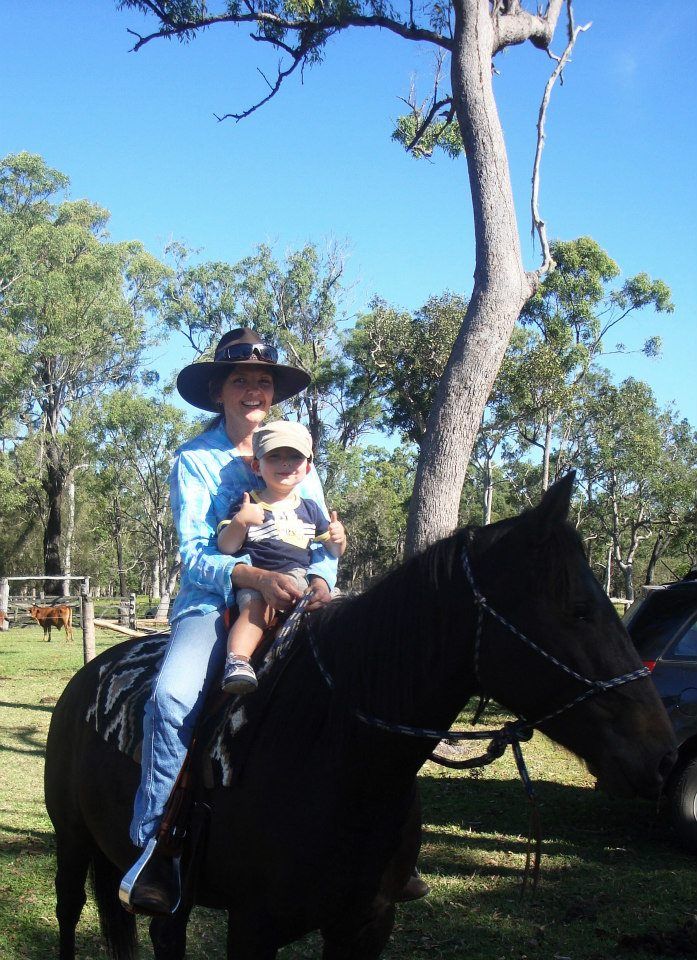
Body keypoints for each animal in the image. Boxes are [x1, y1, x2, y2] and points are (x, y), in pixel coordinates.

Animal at [44, 475, 676, 960]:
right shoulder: (253, 927)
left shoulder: (366, 925)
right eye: (579, 609)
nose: (663, 756)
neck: (342, 758)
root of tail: (86, 679)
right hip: (73, 843)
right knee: (70, 915)